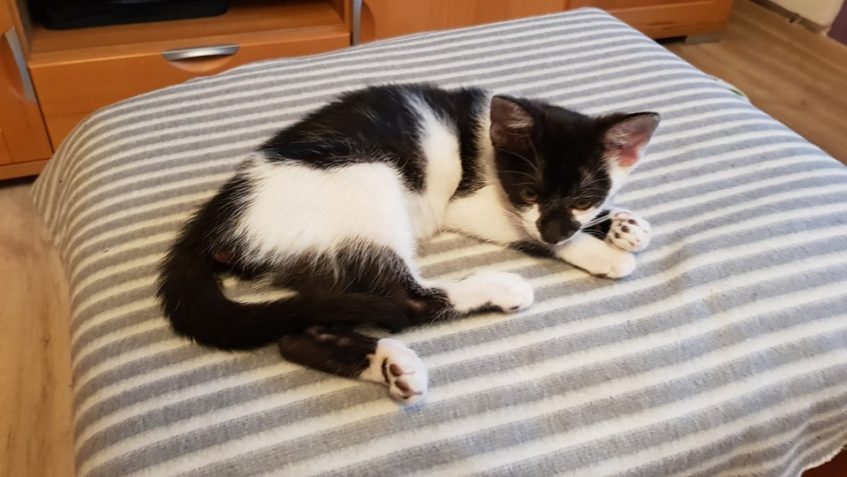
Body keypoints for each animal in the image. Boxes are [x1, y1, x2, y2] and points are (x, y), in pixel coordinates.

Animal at [157, 84, 659, 405]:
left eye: (583, 198)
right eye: (530, 193)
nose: (556, 230)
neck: (487, 136)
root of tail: (217, 218)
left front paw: (622, 223)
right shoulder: (469, 205)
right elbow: (524, 231)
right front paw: (600, 251)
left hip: (320, 257)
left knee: (300, 331)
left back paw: (389, 365)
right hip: (367, 176)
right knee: (404, 300)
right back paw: (498, 289)